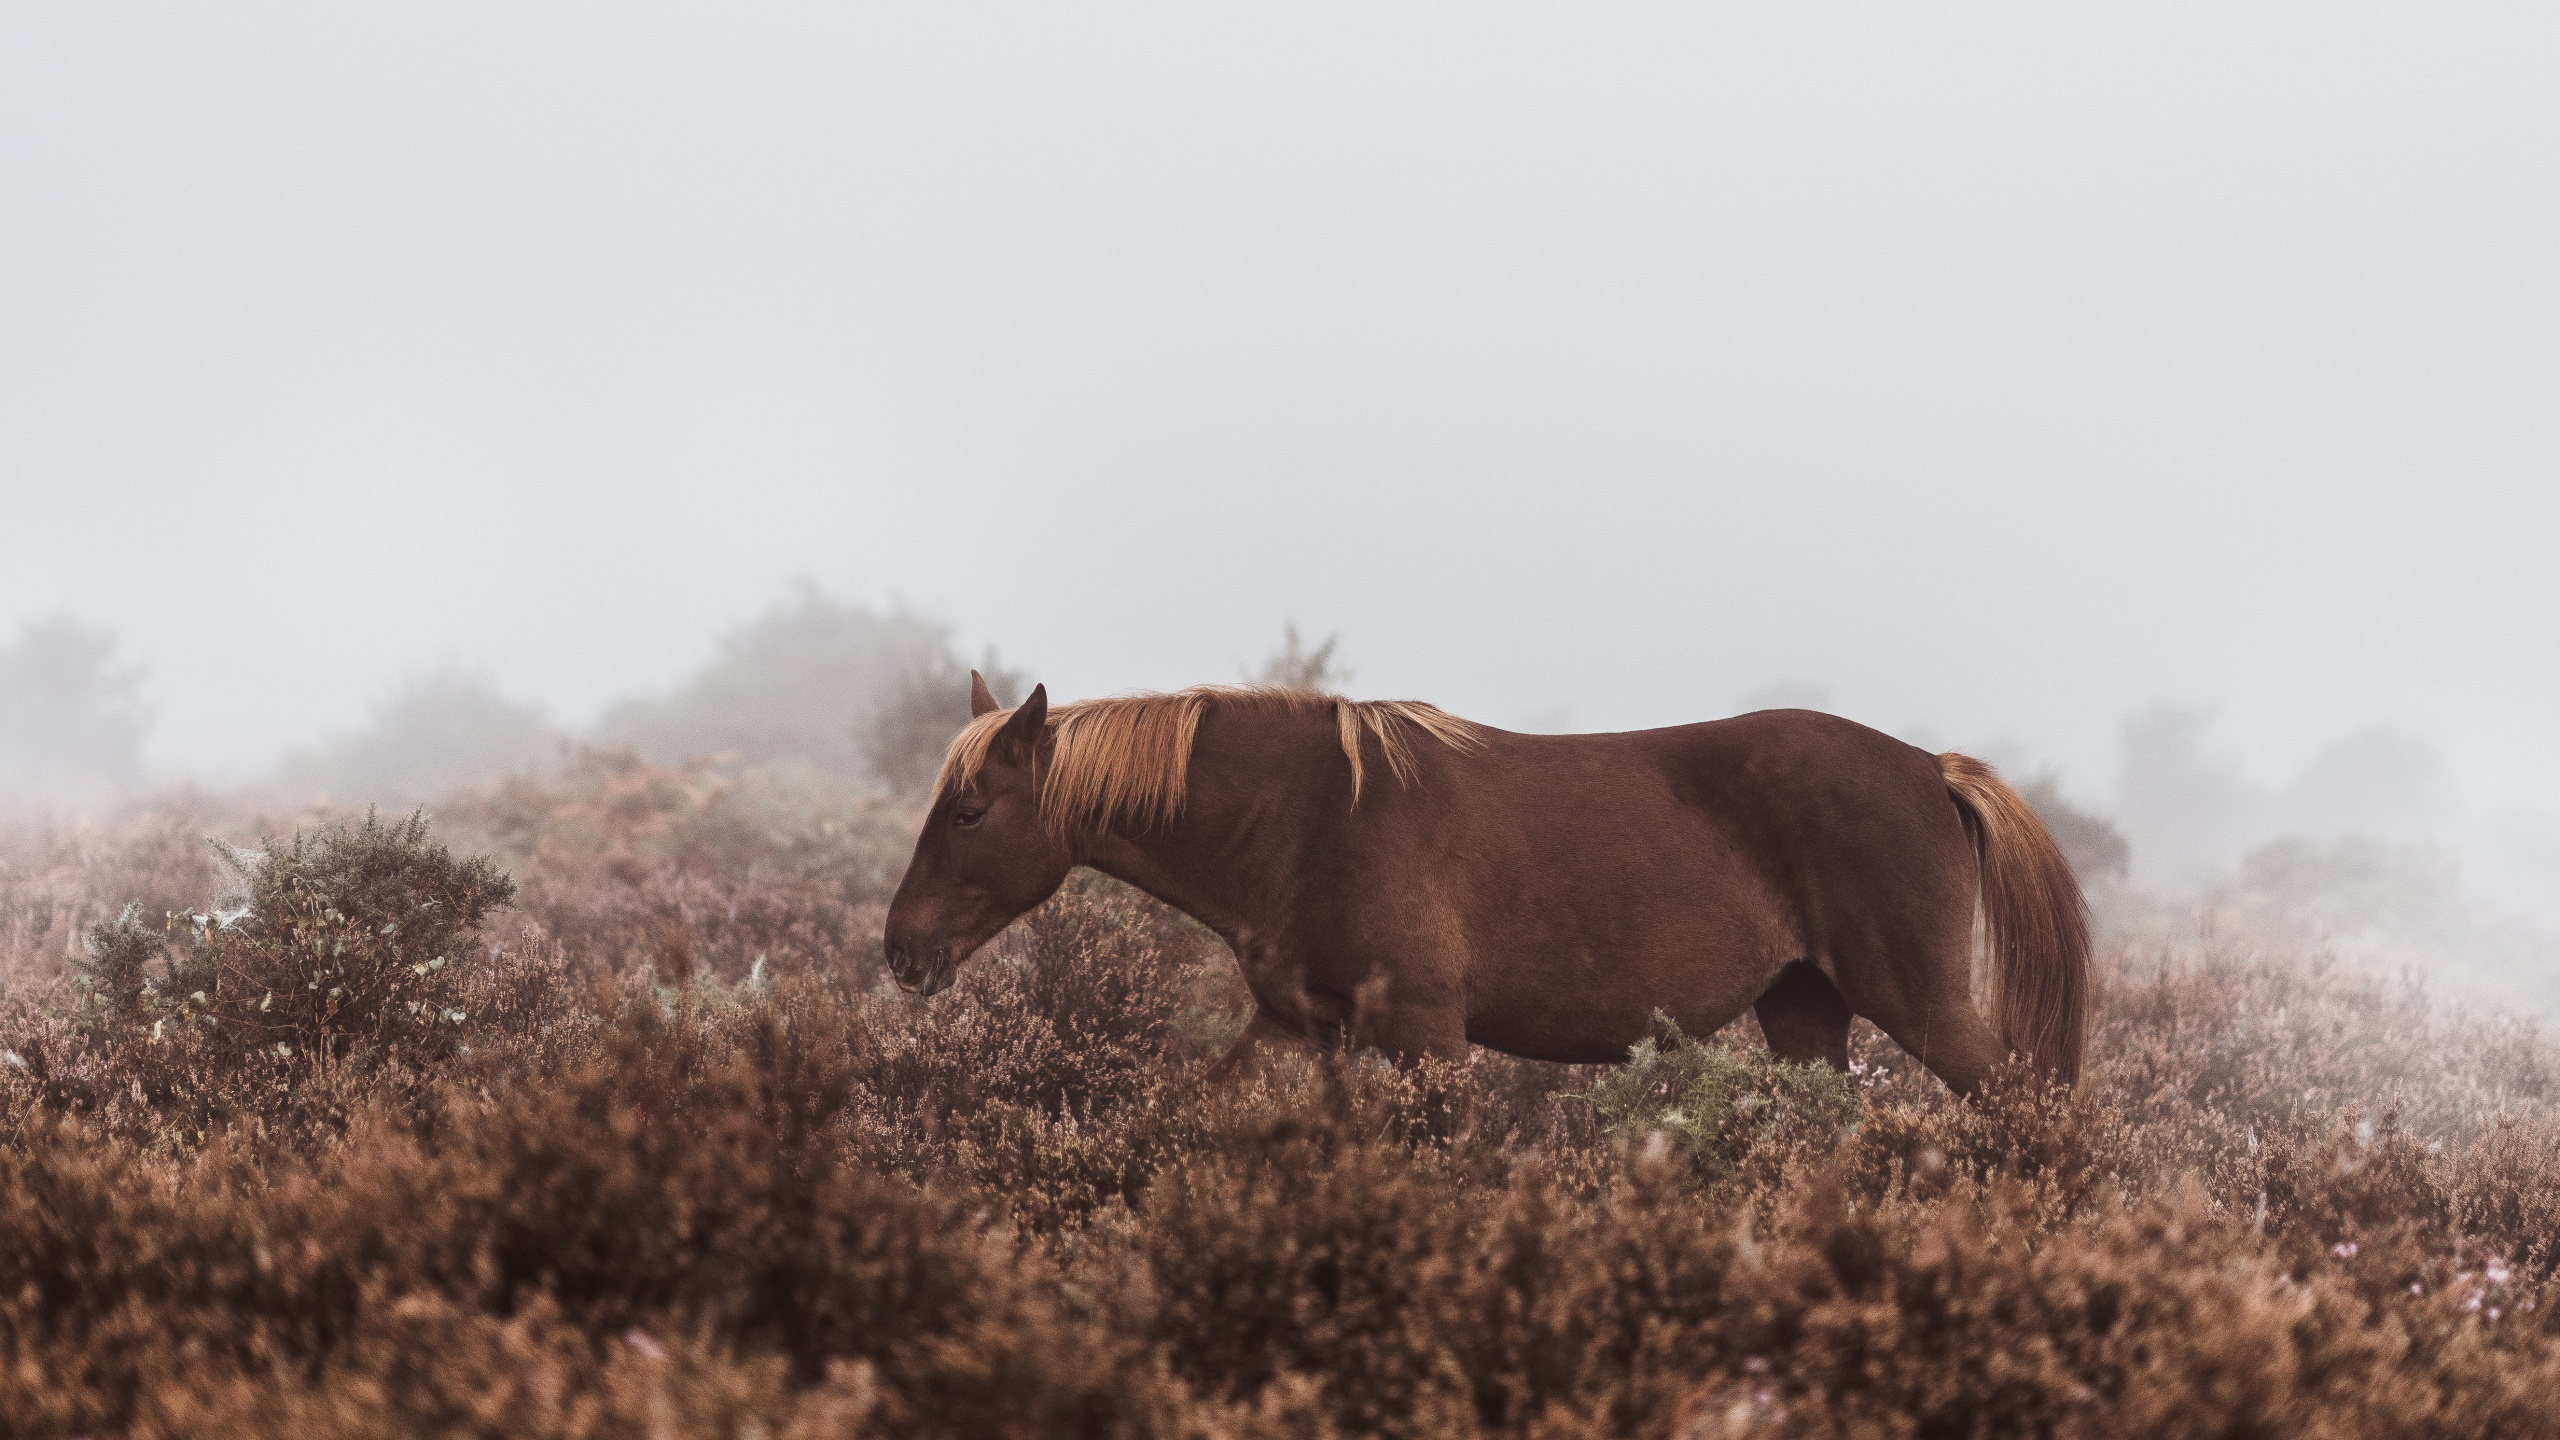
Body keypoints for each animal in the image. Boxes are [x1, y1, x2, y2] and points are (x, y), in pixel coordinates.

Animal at [883, 673, 2090, 1092]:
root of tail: (1928, 767)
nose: (900, 949)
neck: (1311, 820)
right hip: (1804, 1013)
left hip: (1917, 1002)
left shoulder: (1427, 1034)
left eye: (971, 812)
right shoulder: (1298, 1026)